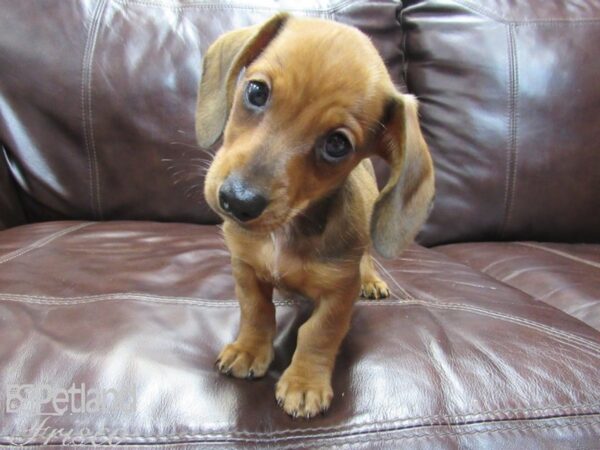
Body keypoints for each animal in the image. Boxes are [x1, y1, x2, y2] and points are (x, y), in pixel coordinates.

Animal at [197, 12, 432, 418]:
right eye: (256, 92)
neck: (286, 228)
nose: (237, 201)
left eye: (337, 144)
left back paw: (373, 280)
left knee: (367, 260)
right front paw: (249, 350)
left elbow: (319, 334)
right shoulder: (245, 266)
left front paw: (305, 382)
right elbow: (256, 310)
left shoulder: (339, 292)